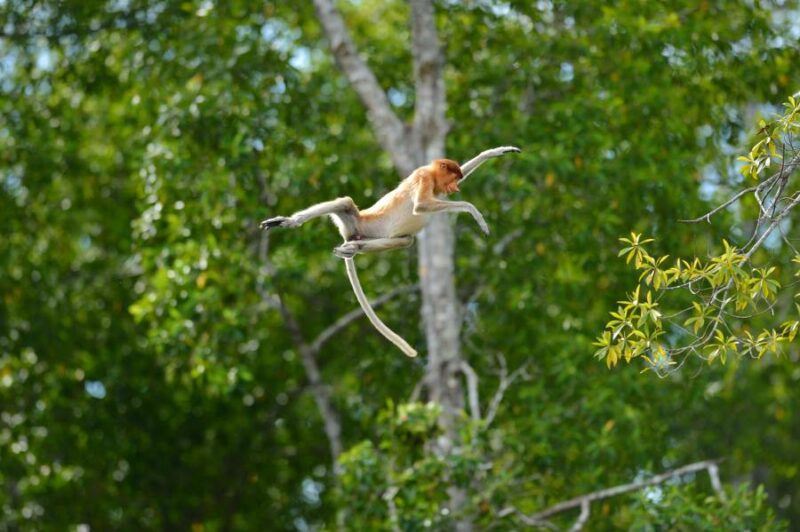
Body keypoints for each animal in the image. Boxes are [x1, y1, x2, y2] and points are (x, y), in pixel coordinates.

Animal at [261, 146, 521, 357]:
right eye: (453, 177)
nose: (455, 187)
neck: (432, 175)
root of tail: (352, 234)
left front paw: (495, 152)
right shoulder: (424, 177)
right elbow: (422, 206)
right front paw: (475, 213)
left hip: (369, 235)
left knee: (406, 241)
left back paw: (352, 249)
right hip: (360, 222)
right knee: (345, 203)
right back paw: (288, 222)